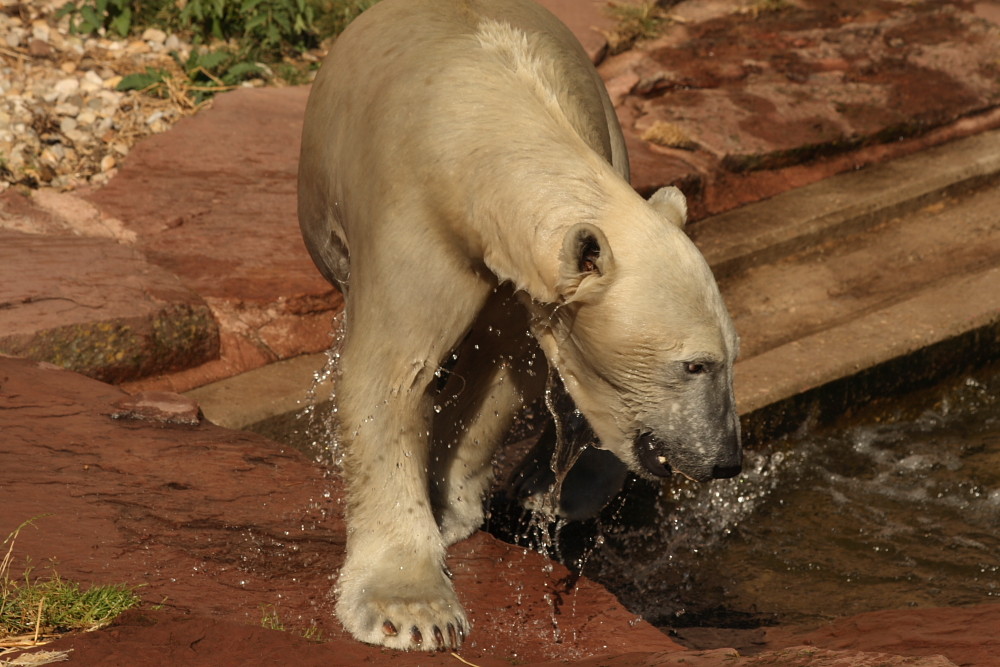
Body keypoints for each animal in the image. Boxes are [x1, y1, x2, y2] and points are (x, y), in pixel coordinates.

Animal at [296, 0, 744, 652]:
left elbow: (512, 366)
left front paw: (452, 504)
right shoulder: (414, 221)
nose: (727, 459)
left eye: (732, 356)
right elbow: (392, 373)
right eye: (695, 364)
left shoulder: (521, 273)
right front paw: (413, 610)